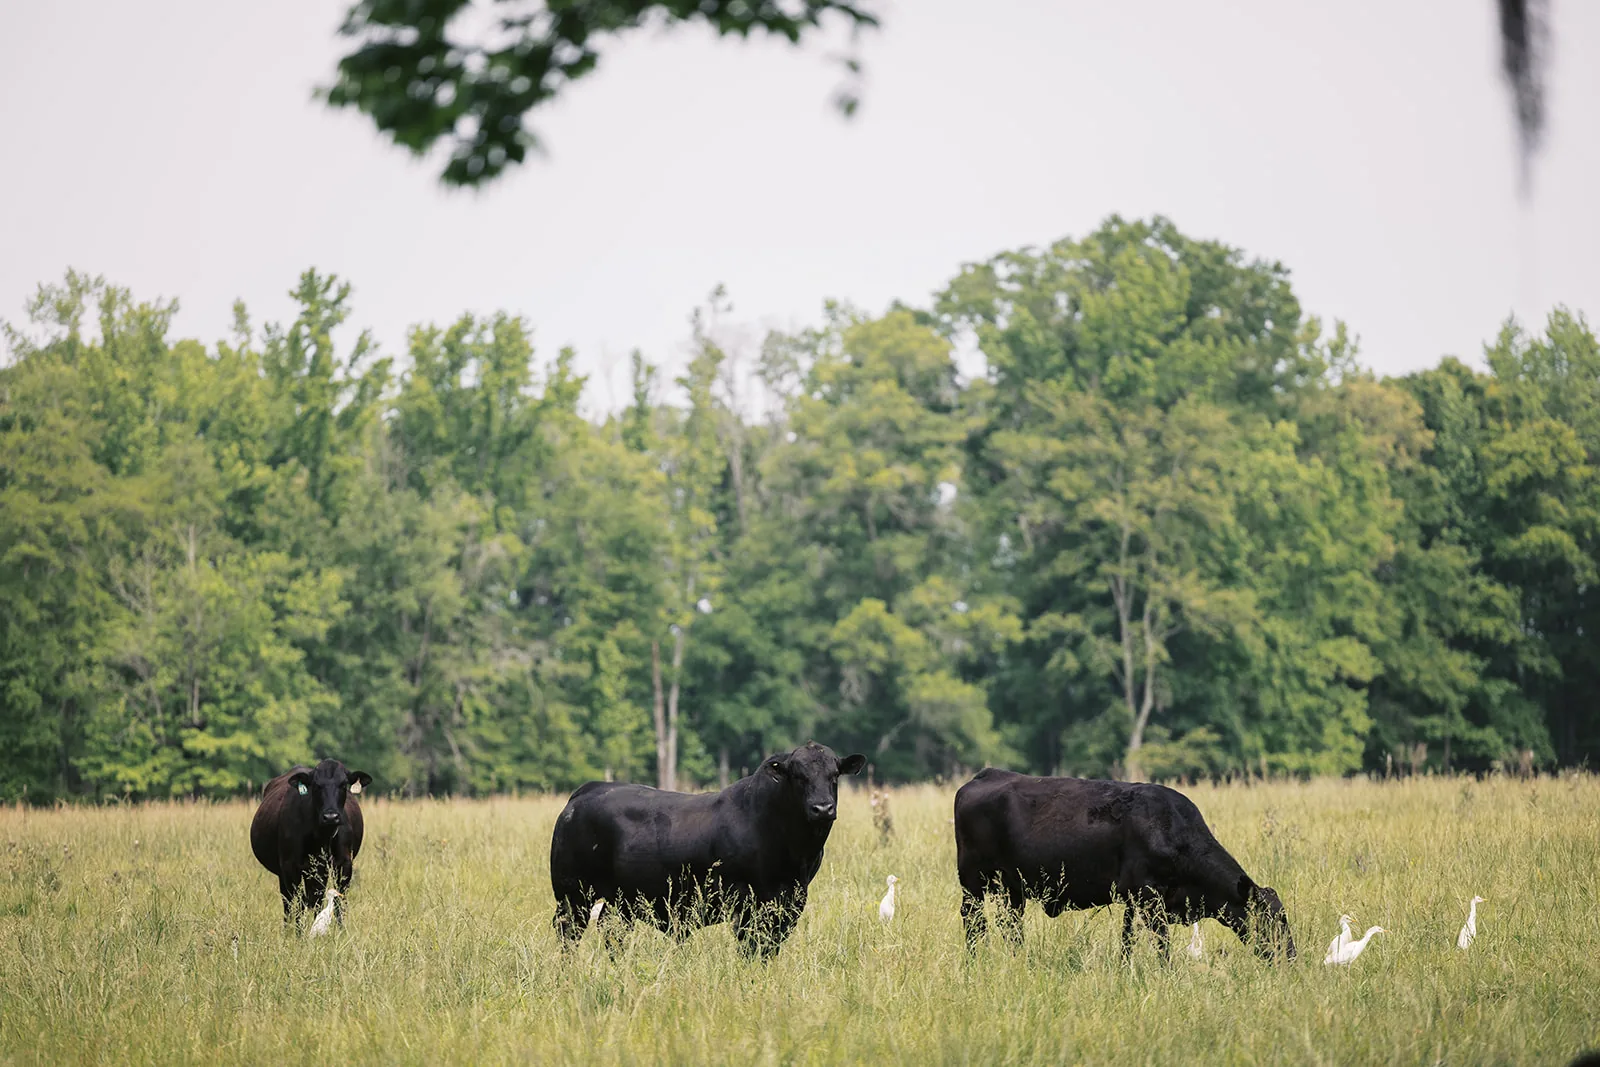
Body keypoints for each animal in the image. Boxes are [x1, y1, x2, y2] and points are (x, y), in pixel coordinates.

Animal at [249, 759, 372, 925]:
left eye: (343, 784)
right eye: (316, 785)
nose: (331, 816)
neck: (321, 837)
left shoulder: (344, 864)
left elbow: (338, 902)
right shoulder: (290, 867)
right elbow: (298, 906)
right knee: (289, 903)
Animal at [550, 741, 867, 957]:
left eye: (834, 776)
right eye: (799, 776)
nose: (822, 808)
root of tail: (587, 791)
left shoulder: (791, 902)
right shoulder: (746, 901)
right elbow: (751, 948)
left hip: (620, 899)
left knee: (612, 932)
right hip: (573, 894)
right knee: (568, 934)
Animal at [954, 769, 1295, 961]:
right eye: (1270, 921)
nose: (1290, 957)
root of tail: (987, 773)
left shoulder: (1133, 896)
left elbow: (1127, 938)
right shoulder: (1149, 894)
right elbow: (1161, 944)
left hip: (1012, 888)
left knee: (1010, 925)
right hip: (973, 880)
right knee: (974, 921)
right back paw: (975, 961)